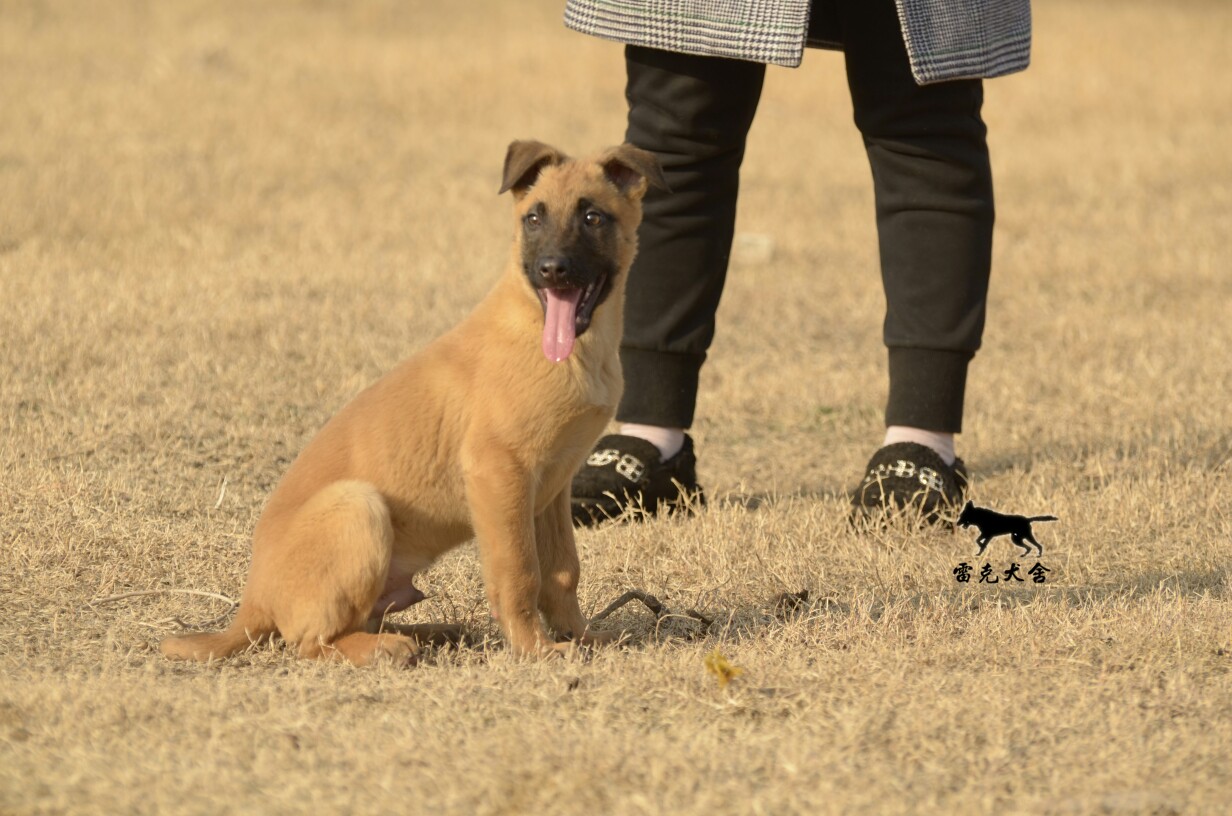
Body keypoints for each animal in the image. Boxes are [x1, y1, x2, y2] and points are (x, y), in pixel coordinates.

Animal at [166, 140, 665, 665]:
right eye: (533, 218)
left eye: (592, 217)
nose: (551, 270)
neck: (560, 338)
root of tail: (252, 601)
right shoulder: (499, 472)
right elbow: (519, 573)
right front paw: (535, 648)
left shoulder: (553, 486)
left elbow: (563, 571)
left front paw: (583, 637)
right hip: (358, 505)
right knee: (310, 642)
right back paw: (386, 647)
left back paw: (435, 632)